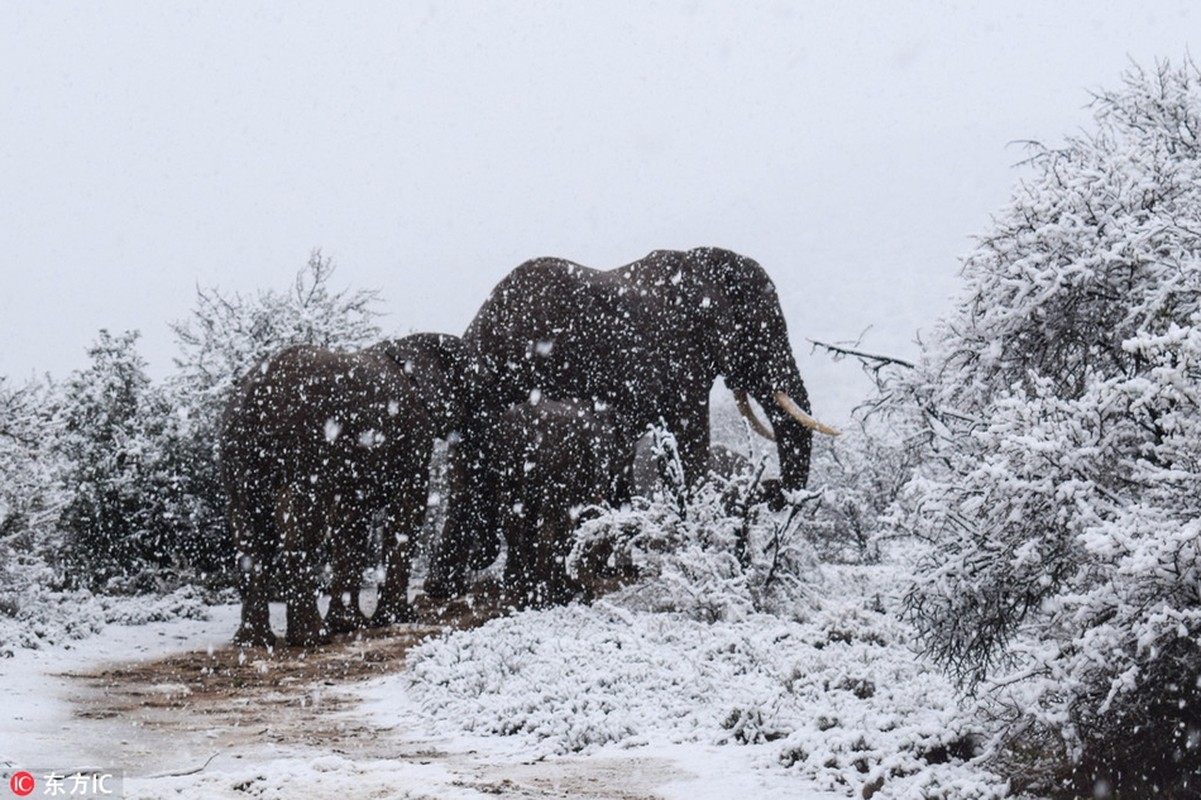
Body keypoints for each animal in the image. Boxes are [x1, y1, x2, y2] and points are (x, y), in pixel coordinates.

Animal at [220, 331, 463, 648]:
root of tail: (255, 394)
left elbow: (351, 521)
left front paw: (350, 625)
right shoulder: (413, 440)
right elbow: (407, 511)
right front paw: (399, 618)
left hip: (238, 455)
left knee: (250, 539)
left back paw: (254, 642)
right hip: (308, 451)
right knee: (302, 530)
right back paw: (312, 638)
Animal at [494, 396, 624, 607]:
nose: (606, 571)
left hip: (506, 473)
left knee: (511, 520)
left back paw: (519, 583)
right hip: (556, 474)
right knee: (550, 527)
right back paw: (546, 591)